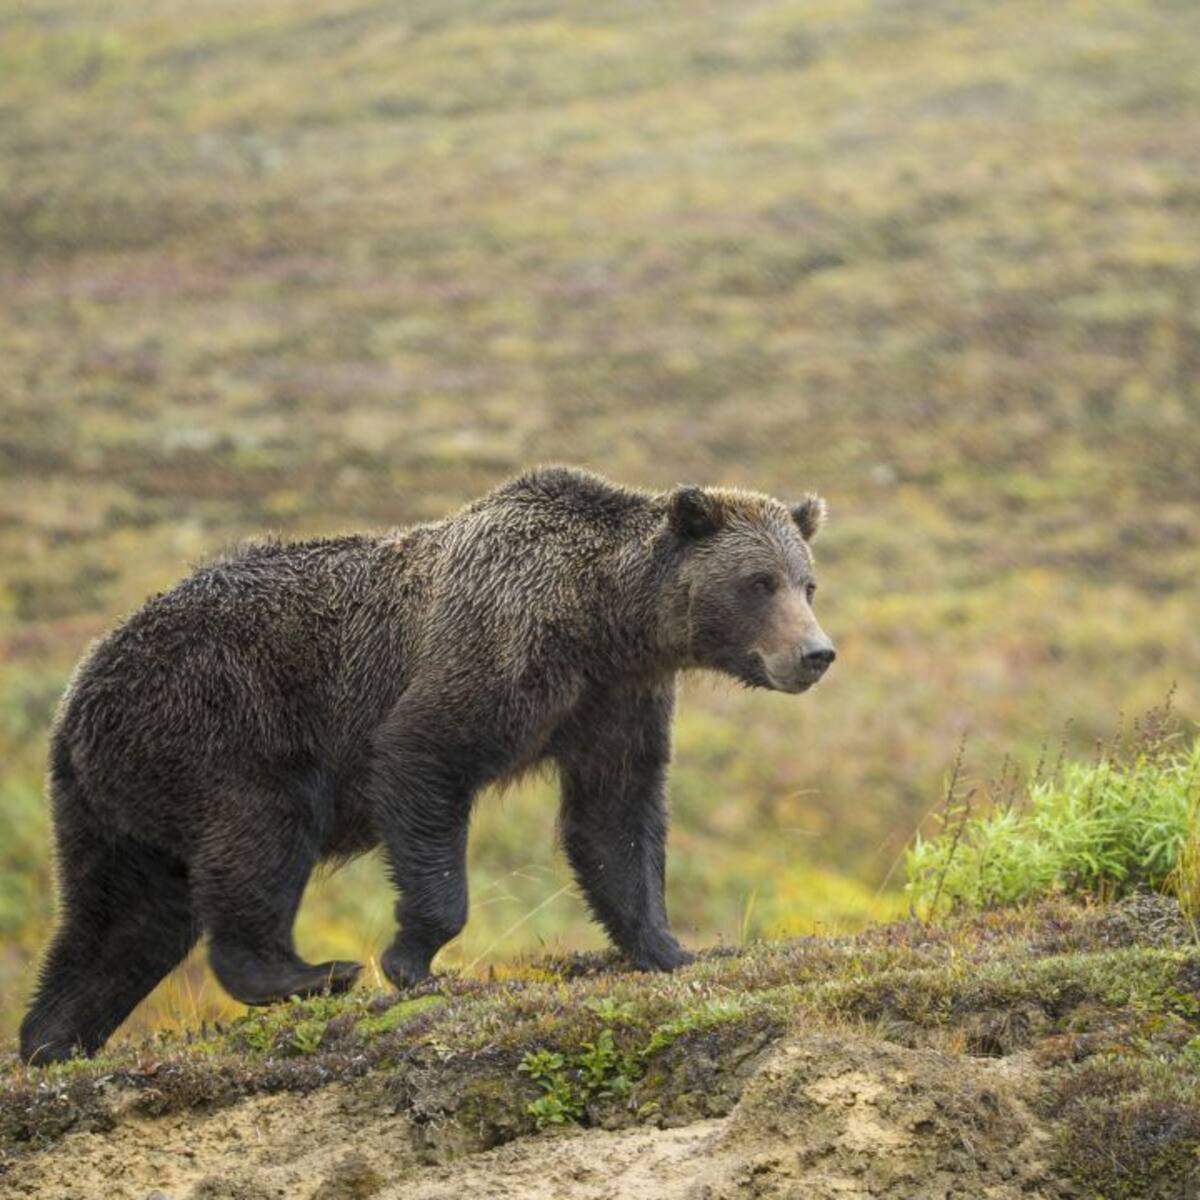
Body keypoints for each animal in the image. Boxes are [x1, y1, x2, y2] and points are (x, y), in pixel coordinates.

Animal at [18, 466, 835, 1064]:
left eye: (807, 582)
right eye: (759, 581)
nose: (815, 653)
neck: (599, 619)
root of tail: (80, 687)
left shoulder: (613, 702)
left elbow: (616, 822)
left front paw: (672, 948)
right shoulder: (493, 653)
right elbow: (422, 760)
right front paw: (409, 959)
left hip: (111, 793)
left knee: (122, 917)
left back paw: (52, 1039)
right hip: (222, 723)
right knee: (255, 839)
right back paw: (309, 972)